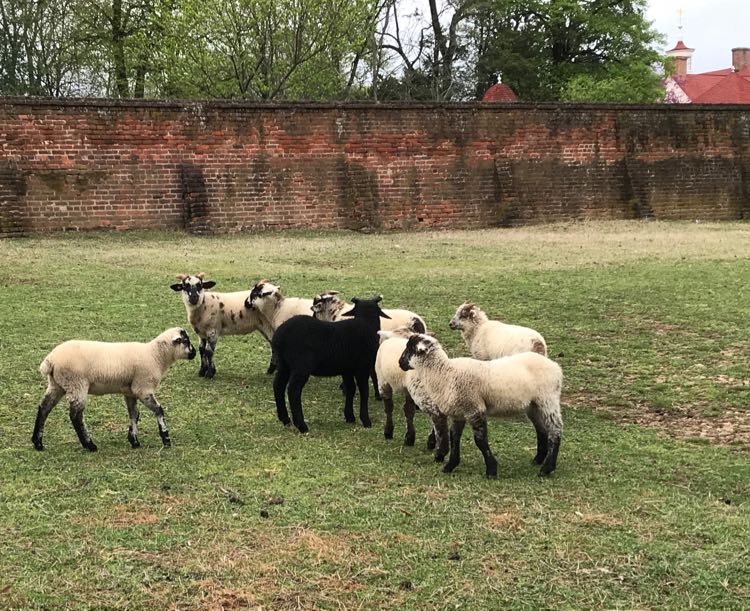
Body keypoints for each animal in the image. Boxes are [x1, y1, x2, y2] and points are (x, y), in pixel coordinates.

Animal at [31, 328, 198, 452]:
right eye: (186, 341)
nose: (195, 353)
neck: (155, 355)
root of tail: (50, 360)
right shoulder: (143, 388)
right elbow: (158, 410)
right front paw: (165, 438)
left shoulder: (130, 391)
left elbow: (134, 414)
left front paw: (134, 440)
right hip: (77, 385)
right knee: (76, 416)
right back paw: (89, 445)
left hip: (57, 385)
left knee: (44, 408)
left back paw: (37, 442)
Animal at [274, 298, 394, 436]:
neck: (366, 324)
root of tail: (280, 336)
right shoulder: (362, 368)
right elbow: (364, 391)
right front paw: (366, 420)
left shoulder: (347, 370)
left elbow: (351, 389)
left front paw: (350, 417)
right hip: (301, 366)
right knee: (293, 390)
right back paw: (302, 426)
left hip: (284, 364)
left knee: (278, 386)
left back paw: (285, 419)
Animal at [400, 334, 564, 478]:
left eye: (409, 348)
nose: (400, 363)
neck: (445, 373)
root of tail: (555, 367)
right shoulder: (459, 412)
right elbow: (454, 438)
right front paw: (450, 465)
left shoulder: (474, 408)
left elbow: (480, 440)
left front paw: (491, 470)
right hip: (534, 405)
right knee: (541, 429)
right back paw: (538, 460)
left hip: (548, 400)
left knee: (555, 430)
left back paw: (547, 468)